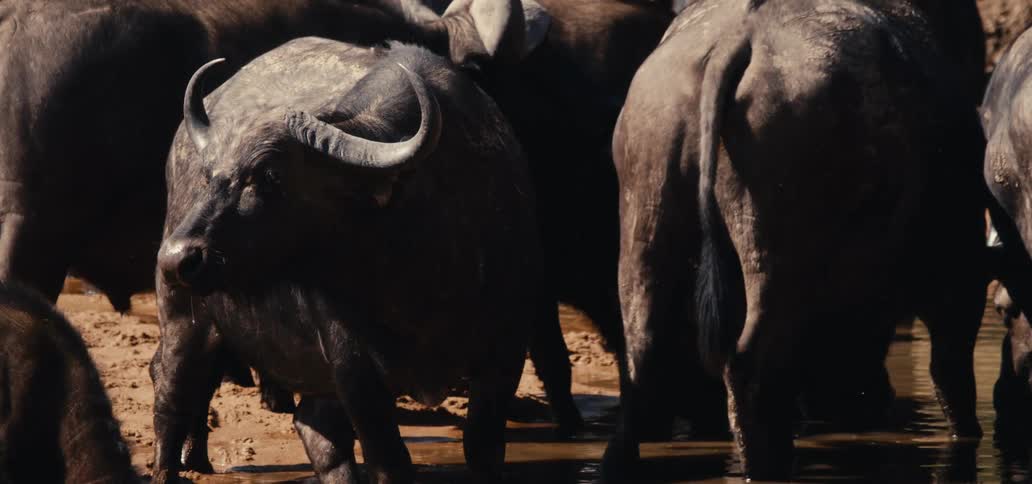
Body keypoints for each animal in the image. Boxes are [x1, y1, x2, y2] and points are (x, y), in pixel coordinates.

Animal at [603, 0, 987, 479]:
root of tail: (736, 39)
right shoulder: (958, 268)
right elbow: (951, 372)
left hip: (646, 227)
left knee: (643, 360)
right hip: (776, 264)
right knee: (751, 370)